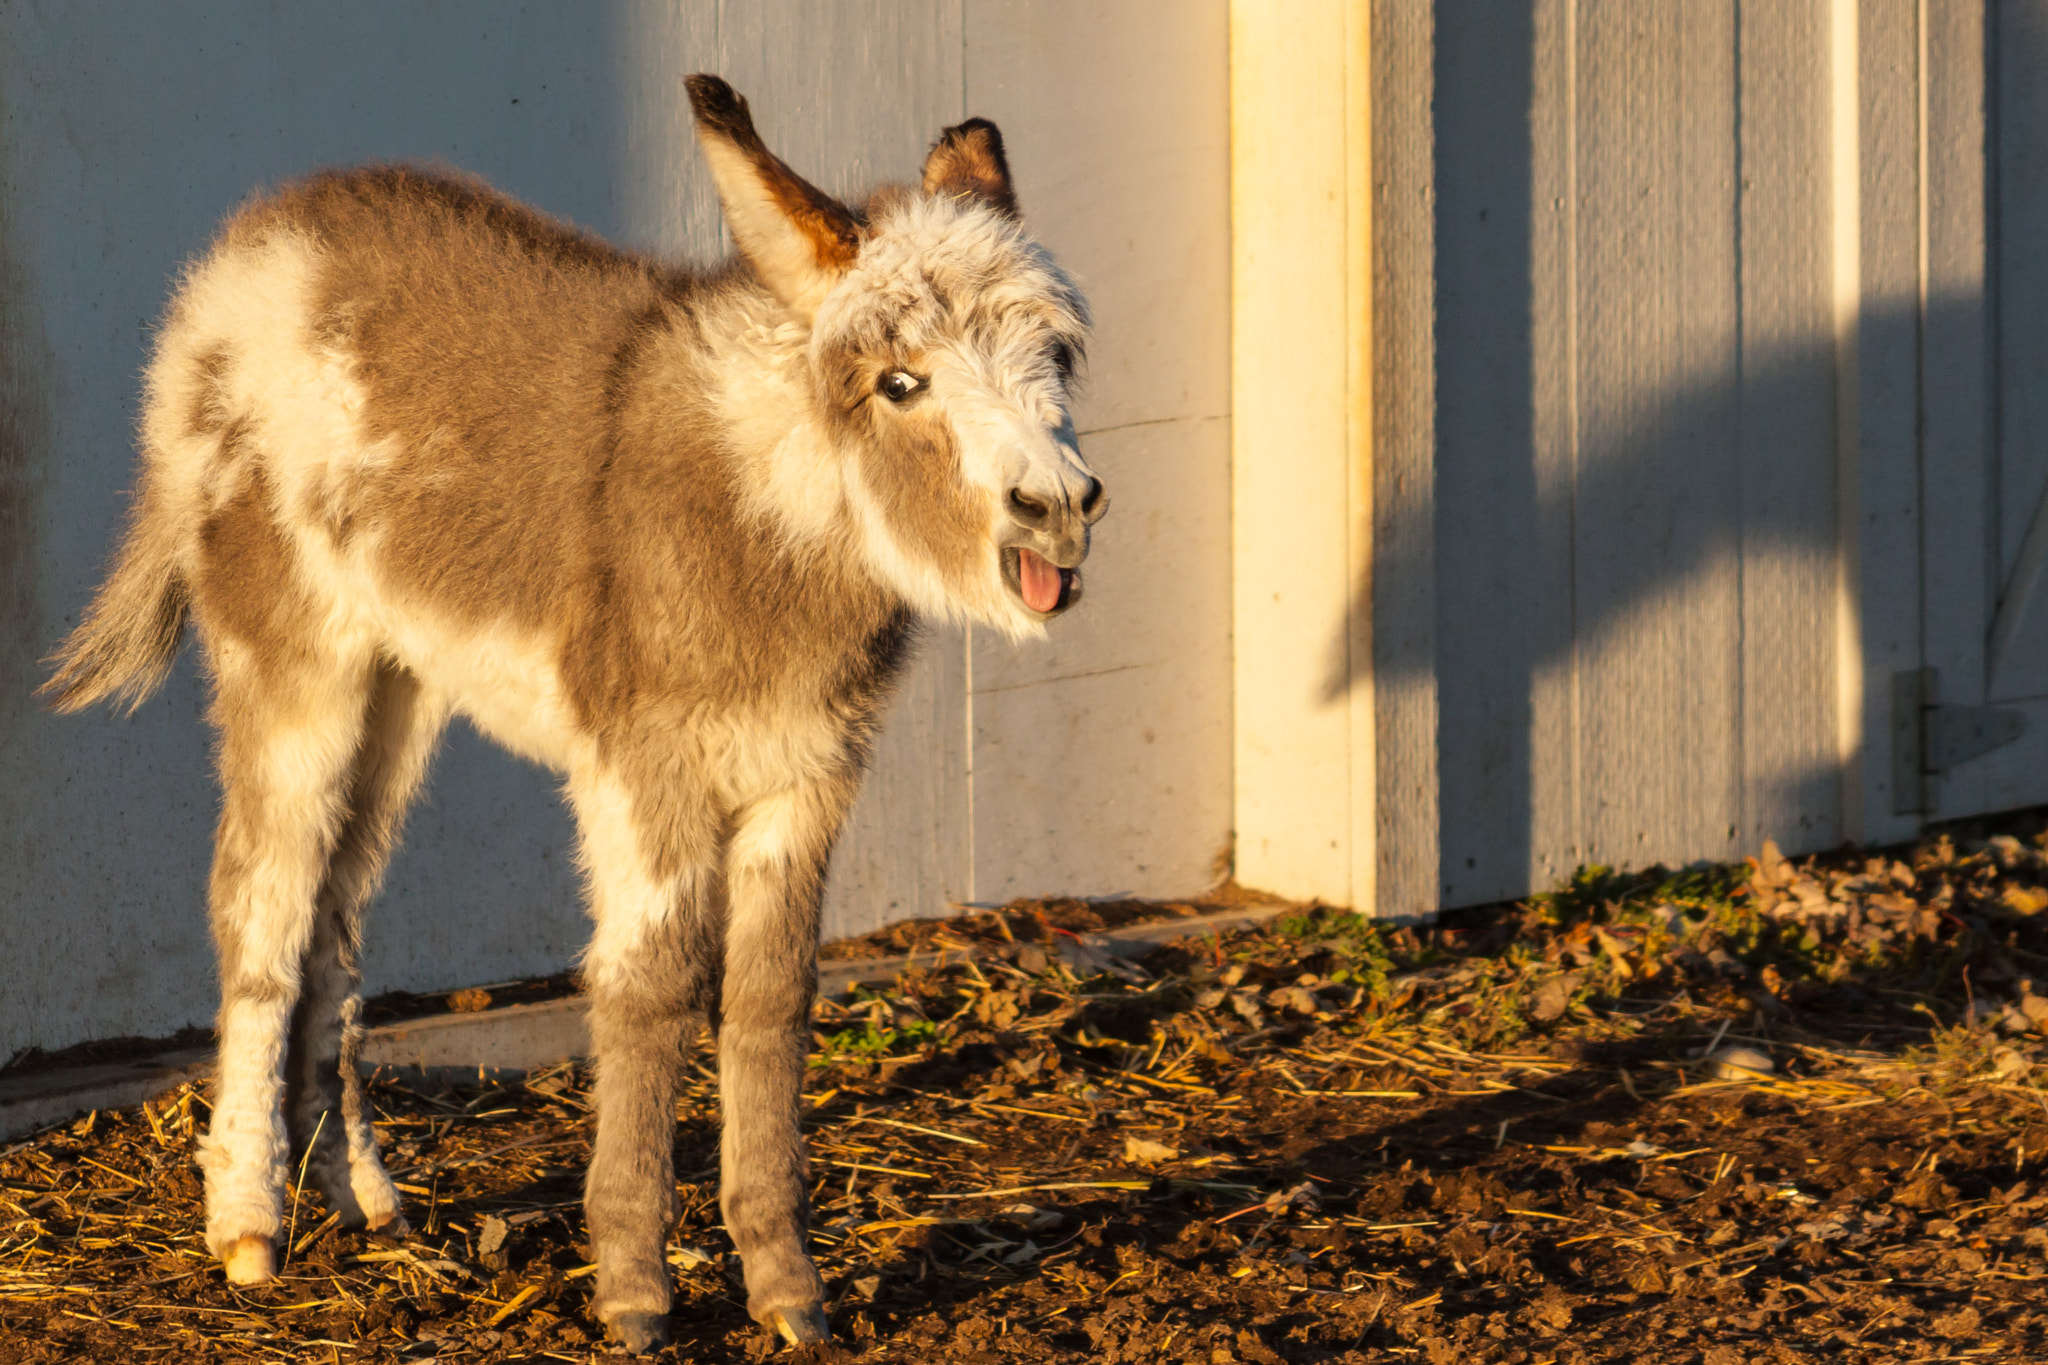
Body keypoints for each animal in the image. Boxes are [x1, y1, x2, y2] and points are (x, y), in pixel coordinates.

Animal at [48, 77, 1105, 1358]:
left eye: (1057, 356)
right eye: (901, 382)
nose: (1060, 511)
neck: (778, 516)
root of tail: (258, 233)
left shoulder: (803, 776)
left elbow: (768, 1000)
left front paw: (786, 1293)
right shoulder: (645, 774)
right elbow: (646, 991)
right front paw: (634, 1292)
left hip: (401, 684)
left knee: (336, 920)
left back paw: (361, 1200)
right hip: (293, 654)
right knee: (262, 906)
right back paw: (248, 1229)